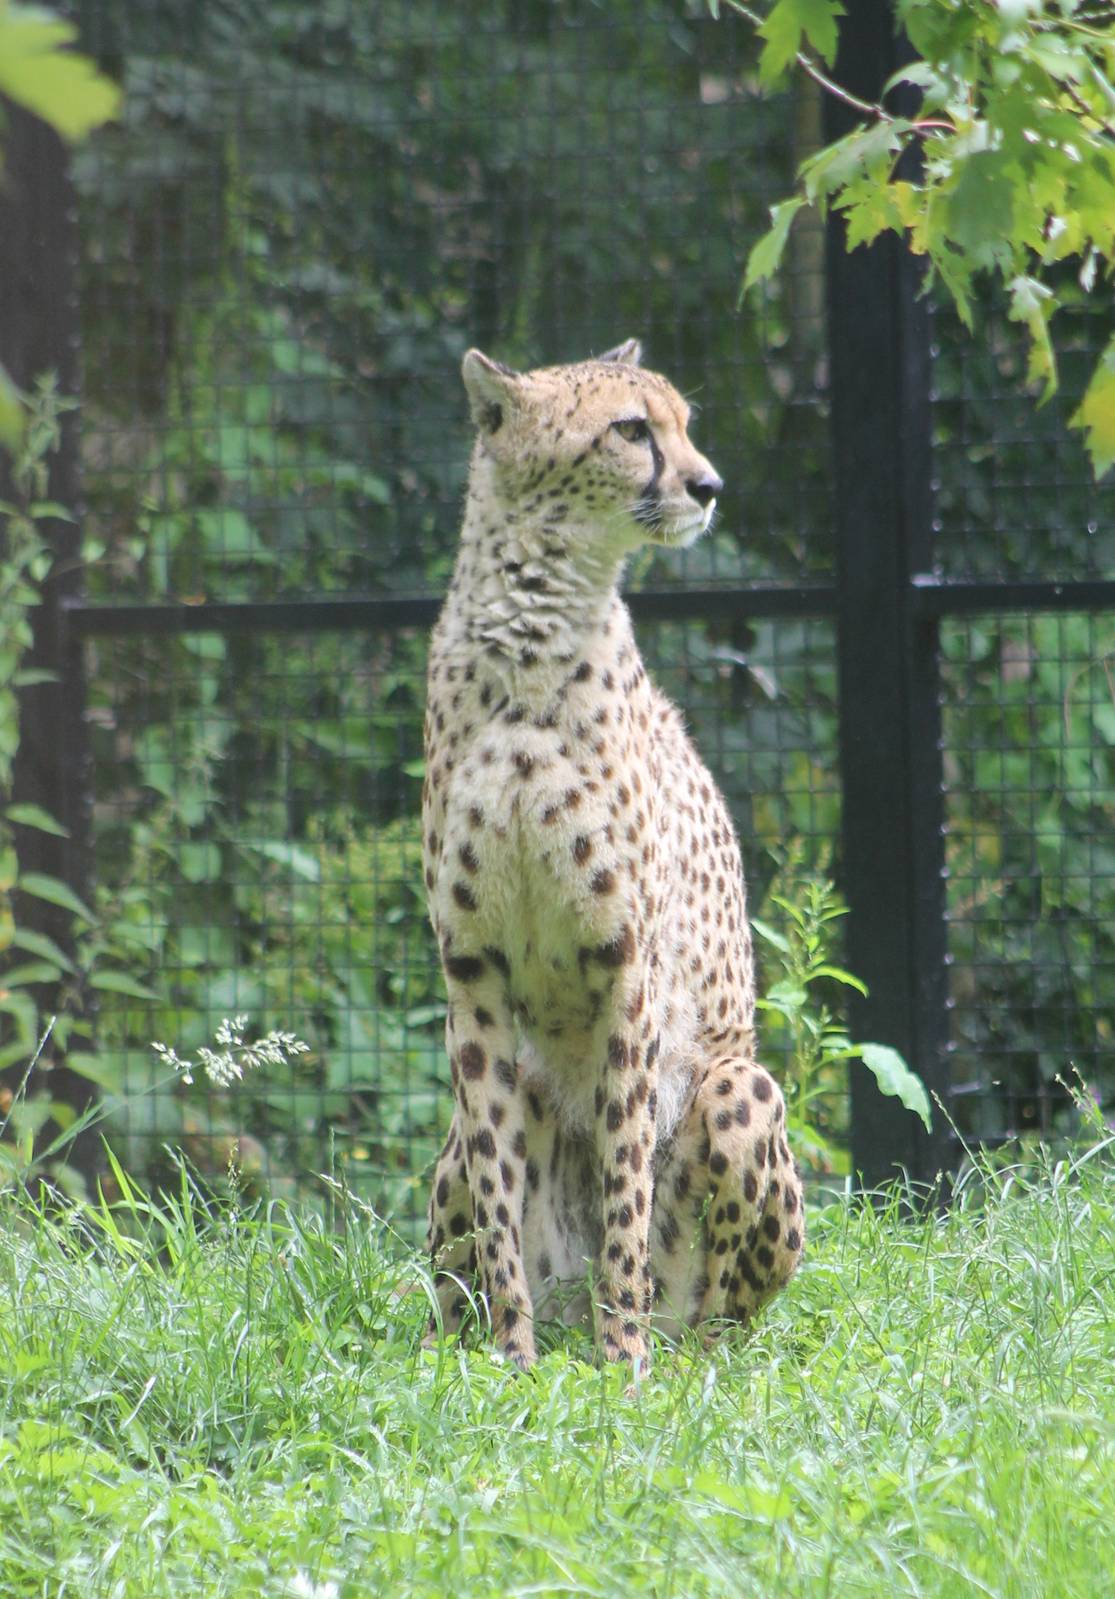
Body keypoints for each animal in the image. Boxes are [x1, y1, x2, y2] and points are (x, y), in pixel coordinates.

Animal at [421, 337, 804, 1370]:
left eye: (682, 423)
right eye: (631, 429)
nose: (709, 486)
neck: (532, 625)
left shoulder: (625, 964)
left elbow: (627, 1183)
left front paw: (620, 1367)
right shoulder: (471, 969)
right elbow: (499, 1197)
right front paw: (513, 1364)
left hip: (740, 1088)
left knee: (721, 1314)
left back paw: (673, 1350)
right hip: (456, 1151)